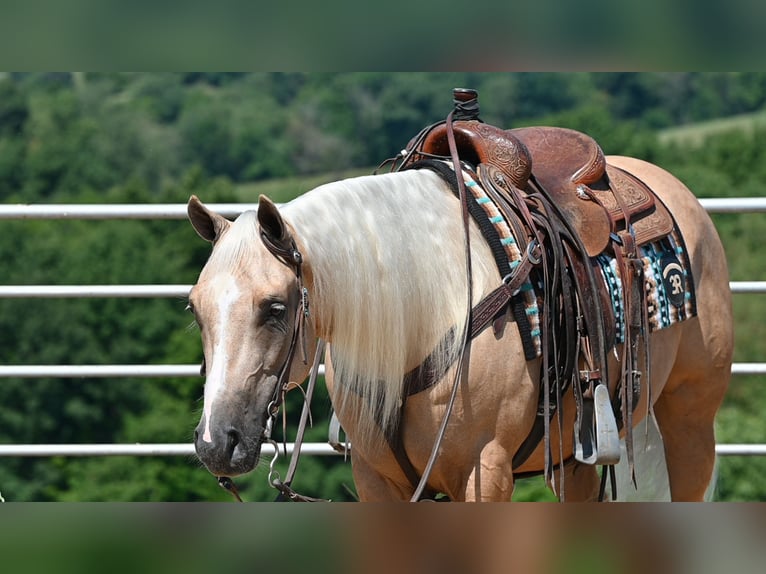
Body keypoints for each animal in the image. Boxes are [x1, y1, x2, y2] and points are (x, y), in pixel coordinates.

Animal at [186, 121, 732, 501]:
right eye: (194, 310)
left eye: (275, 307)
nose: (217, 442)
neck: (420, 317)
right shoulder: (375, 478)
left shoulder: (484, 472)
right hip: (576, 456)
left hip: (690, 422)